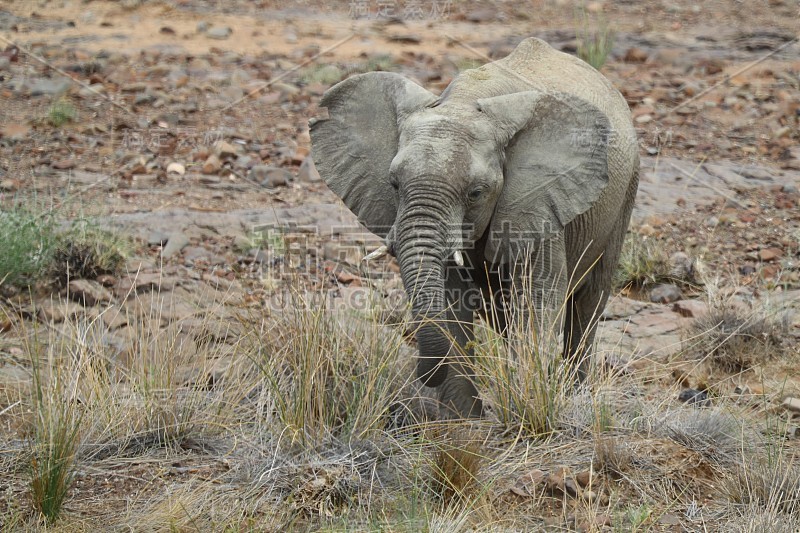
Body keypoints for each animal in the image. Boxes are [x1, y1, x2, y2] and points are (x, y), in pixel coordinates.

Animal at [310, 38, 640, 420]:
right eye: (394, 184)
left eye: (476, 193)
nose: (425, 375)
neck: (466, 102)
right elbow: (454, 303)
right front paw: (465, 420)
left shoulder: (538, 200)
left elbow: (536, 298)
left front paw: (527, 409)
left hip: (625, 194)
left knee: (588, 304)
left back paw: (574, 392)